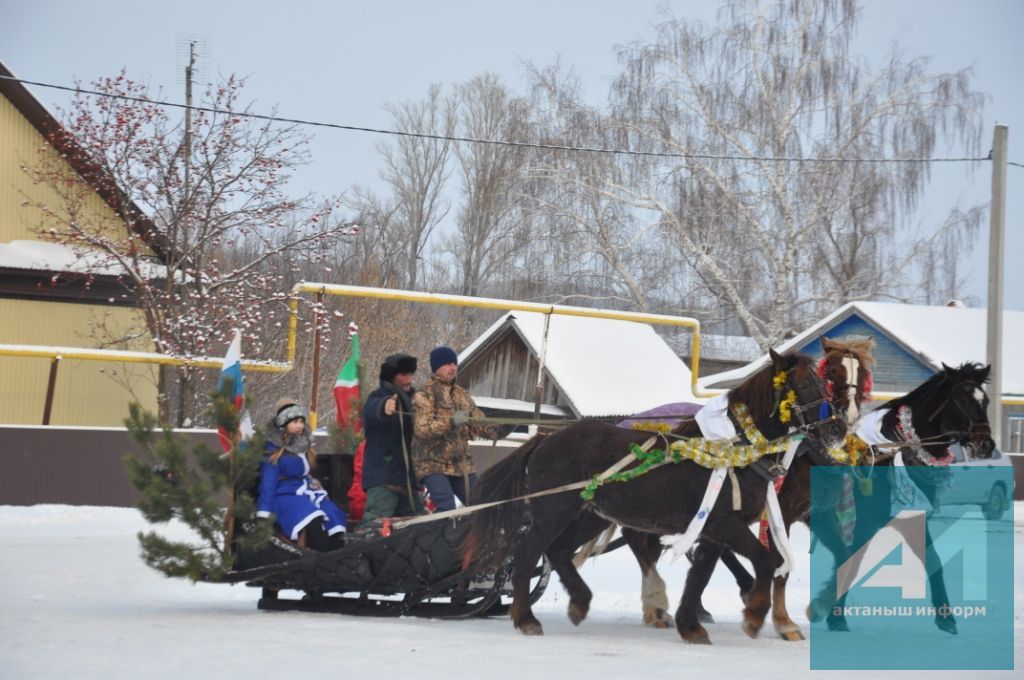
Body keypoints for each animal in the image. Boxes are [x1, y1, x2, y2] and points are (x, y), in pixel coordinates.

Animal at [464, 350, 847, 643]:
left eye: (824, 383)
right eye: (804, 384)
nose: (837, 429)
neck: (733, 448)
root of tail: (544, 439)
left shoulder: (713, 529)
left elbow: (701, 576)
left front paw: (690, 625)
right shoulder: (726, 523)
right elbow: (766, 561)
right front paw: (753, 615)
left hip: (590, 514)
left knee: (558, 551)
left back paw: (581, 601)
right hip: (554, 510)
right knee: (530, 553)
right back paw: (526, 618)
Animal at [806, 364, 991, 634]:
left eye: (985, 400)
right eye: (962, 399)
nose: (986, 444)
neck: (892, 451)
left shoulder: (913, 517)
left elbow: (933, 560)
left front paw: (946, 617)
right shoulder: (864, 523)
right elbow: (851, 563)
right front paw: (834, 615)